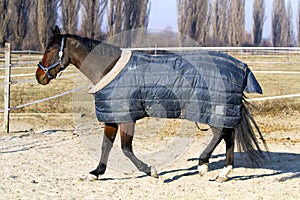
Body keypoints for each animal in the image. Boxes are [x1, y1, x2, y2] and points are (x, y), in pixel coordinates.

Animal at [36, 25, 268, 182]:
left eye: (50, 50)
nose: (39, 76)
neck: (109, 68)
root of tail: (241, 67)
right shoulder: (112, 116)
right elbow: (106, 146)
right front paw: (95, 173)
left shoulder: (127, 118)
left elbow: (126, 149)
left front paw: (151, 171)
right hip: (218, 112)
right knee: (228, 135)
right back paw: (224, 173)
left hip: (212, 112)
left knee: (220, 134)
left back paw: (203, 165)